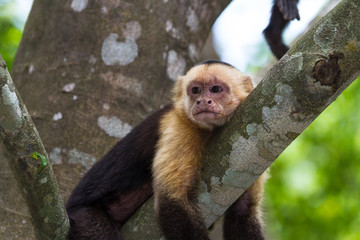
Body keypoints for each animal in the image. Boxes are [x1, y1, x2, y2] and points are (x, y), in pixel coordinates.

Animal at [66, 60, 266, 240]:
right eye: (195, 90)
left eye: (216, 89)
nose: (202, 101)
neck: (210, 130)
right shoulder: (180, 125)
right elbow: (172, 200)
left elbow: (243, 210)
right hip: (83, 216)